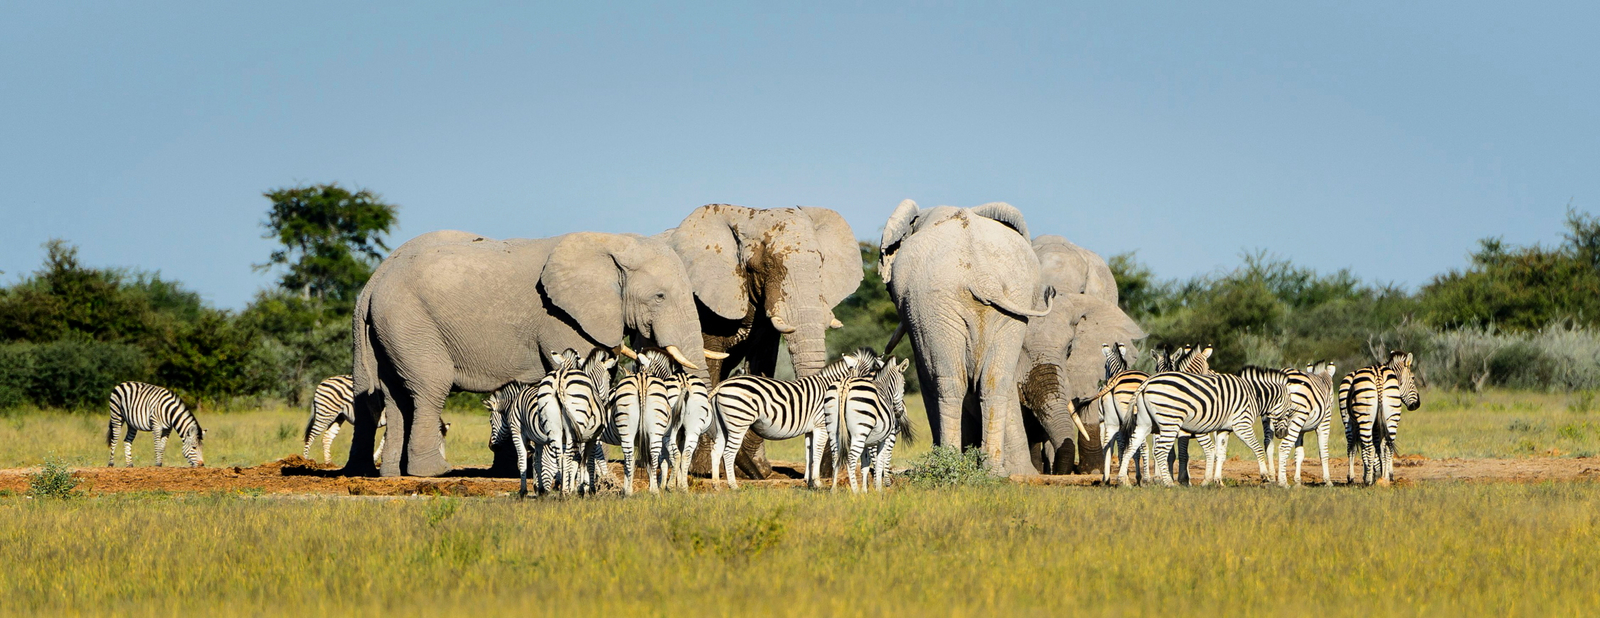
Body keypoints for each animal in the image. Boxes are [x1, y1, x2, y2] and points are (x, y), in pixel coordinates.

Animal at [710, 348, 875, 489]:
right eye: (868, 377)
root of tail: (723, 383)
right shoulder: (821, 426)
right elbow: (817, 452)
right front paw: (818, 483)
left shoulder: (810, 430)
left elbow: (809, 455)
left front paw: (809, 482)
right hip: (738, 422)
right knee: (728, 453)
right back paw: (733, 486)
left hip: (723, 425)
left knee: (716, 451)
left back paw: (716, 485)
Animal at [824, 356, 915, 492]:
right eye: (903, 384)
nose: (899, 413)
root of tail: (845, 384)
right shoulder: (884, 438)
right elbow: (880, 461)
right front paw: (879, 489)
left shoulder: (867, 443)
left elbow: (865, 465)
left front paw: (866, 490)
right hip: (860, 431)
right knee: (851, 458)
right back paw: (855, 491)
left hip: (833, 429)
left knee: (836, 457)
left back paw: (834, 490)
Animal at [1120, 365, 1286, 487]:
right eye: (1290, 411)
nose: (1282, 434)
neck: (1254, 395)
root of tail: (1146, 382)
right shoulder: (1242, 425)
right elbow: (1257, 449)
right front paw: (1265, 477)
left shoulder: (1224, 429)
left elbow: (1220, 454)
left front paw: (1217, 481)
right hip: (1170, 420)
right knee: (1160, 451)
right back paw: (1168, 483)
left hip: (1145, 423)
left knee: (1131, 447)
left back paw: (1123, 481)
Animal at [1341, 351, 1421, 485]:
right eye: (1413, 378)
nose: (1417, 404)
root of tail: (1378, 374)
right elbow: (1380, 448)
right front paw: (1381, 472)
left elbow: (1378, 448)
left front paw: (1378, 472)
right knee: (1375, 446)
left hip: (1361, 418)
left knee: (1362, 446)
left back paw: (1365, 478)